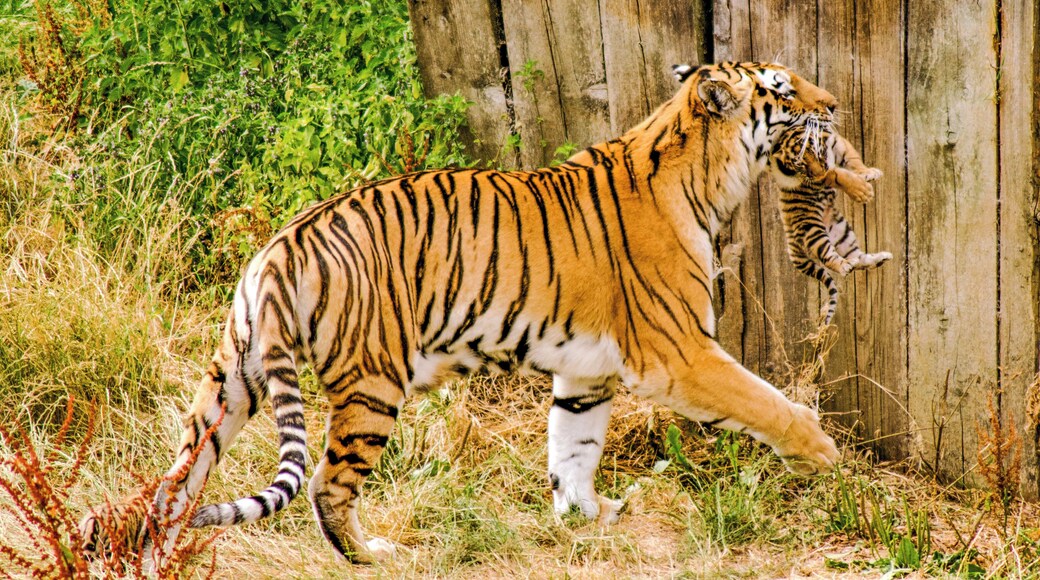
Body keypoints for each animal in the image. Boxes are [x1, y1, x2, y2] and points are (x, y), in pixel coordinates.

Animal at [81, 61, 842, 564]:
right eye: (783, 90)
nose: (835, 104)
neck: (707, 172)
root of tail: (281, 246)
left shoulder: (586, 373)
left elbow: (574, 449)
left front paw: (585, 518)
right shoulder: (680, 352)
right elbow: (766, 402)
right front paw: (825, 455)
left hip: (231, 381)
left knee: (178, 480)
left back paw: (152, 552)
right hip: (372, 386)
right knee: (327, 485)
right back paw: (372, 556)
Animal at [767, 124, 893, 325]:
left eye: (812, 150)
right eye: (799, 164)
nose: (817, 173)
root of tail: (790, 244)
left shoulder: (837, 142)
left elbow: (853, 159)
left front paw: (868, 172)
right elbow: (836, 173)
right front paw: (862, 190)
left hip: (841, 232)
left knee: (858, 258)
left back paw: (878, 258)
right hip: (814, 232)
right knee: (830, 258)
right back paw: (844, 265)